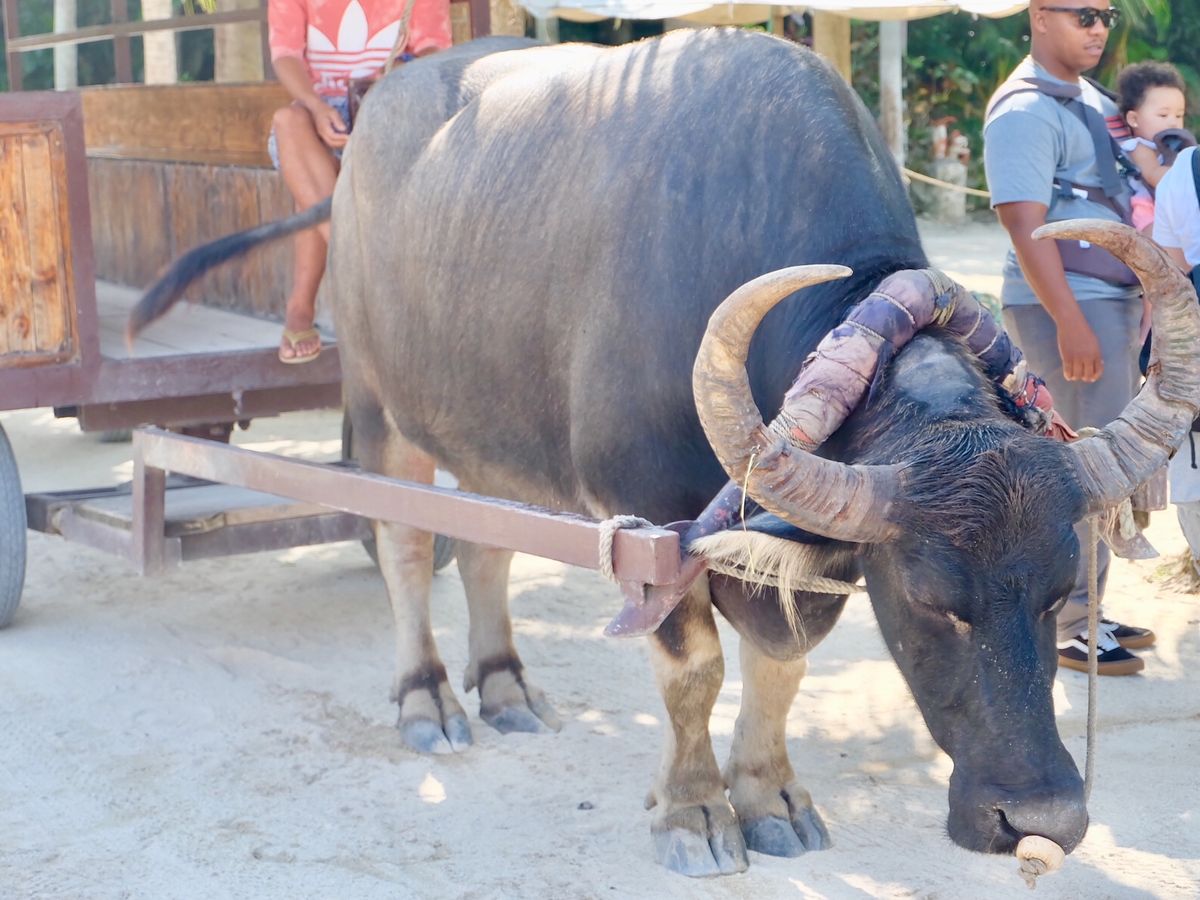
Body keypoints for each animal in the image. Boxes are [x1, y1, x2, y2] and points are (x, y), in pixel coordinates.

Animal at [130, 31, 1200, 878]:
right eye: (934, 601)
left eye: (1064, 591)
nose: (1042, 817)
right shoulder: (645, 518)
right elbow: (694, 670)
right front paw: (692, 813)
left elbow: (780, 663)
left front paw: (772, 801)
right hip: (381, 406)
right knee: (403, 544)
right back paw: (428, 699)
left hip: (488, 434)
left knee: (485, 546)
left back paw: (506, 684)